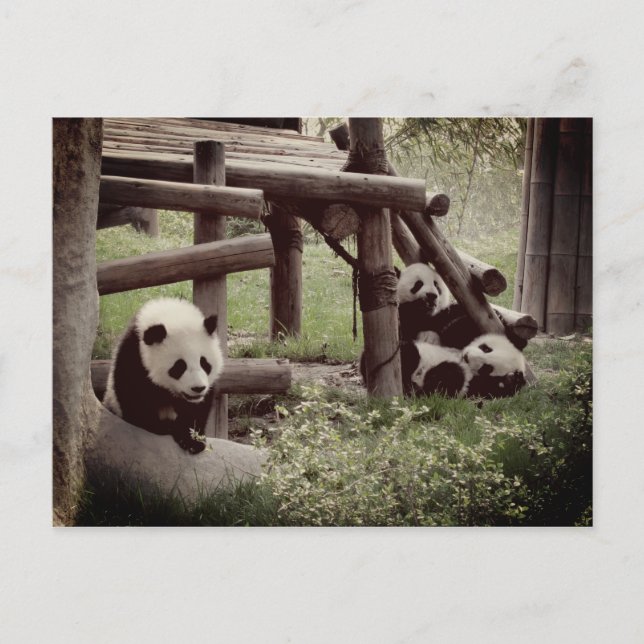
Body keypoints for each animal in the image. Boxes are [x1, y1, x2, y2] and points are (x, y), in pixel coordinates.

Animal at [103, 298, 224, 454]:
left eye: (204, 363)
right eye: (179, 366)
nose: (198, 388)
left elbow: (197, 408)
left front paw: (192, 441)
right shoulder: (134, 357)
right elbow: (134, 397)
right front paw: (158, 427)